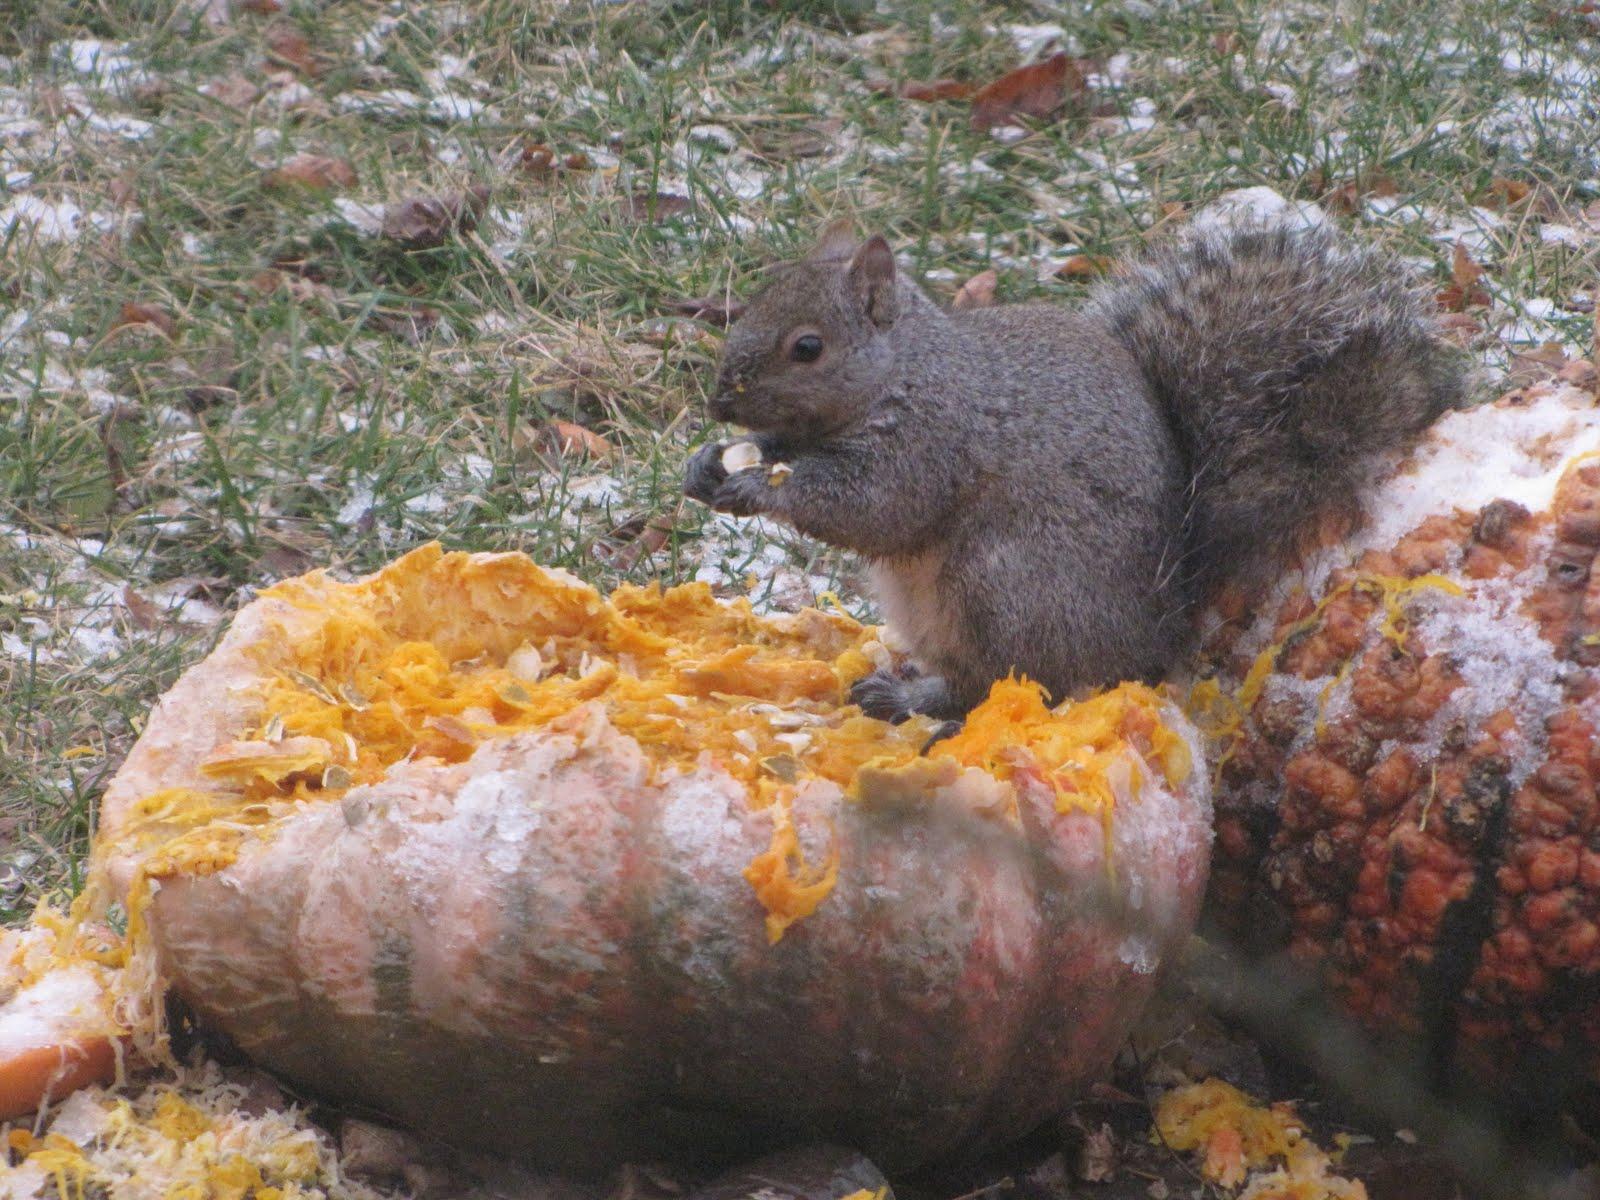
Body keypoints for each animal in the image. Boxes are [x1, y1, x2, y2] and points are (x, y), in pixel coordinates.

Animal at [681, 217, 1465, 723]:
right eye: (752, 305)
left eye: (807, 347)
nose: (719, 401)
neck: (903, 371)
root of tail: (1151, 634)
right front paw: (707, 467)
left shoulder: (935, 440)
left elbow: (875, 508)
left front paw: (758, 486)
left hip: (1003, 587)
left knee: (1007, 683)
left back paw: (913, 701)